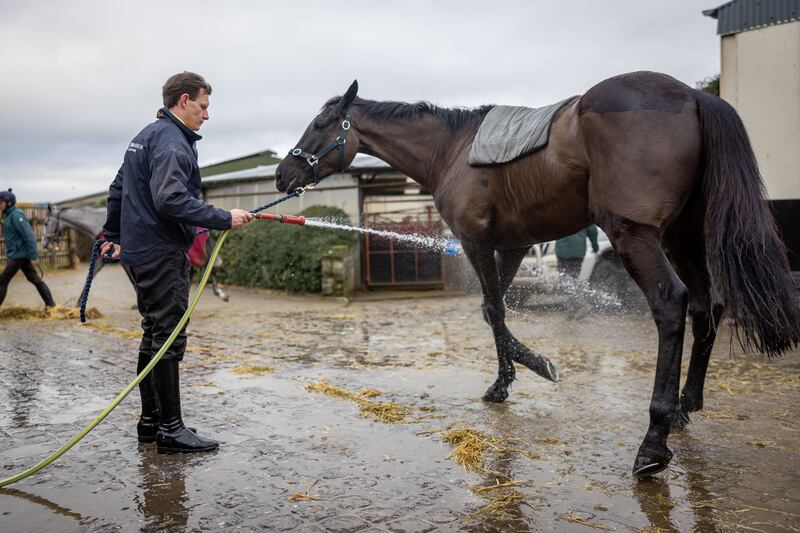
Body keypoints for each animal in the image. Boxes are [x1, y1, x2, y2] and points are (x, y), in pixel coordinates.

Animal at [44, 206, 228, 302]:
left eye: (45, 222)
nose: (44, 243)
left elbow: (131, 280)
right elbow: (93, 275)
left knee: (209, 266)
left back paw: (220, 293)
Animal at [276, 70, 800, 474]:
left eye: (320, 123)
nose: (283, 175)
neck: (452, 150)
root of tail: (693, 95)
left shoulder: (477, 242)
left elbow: (493, 309)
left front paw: (522, 373)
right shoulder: (513, 246)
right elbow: (495, 311)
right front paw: (516, 375)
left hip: (637, 235)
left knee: (671, 306)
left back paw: (653, 442)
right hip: (682, 237)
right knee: (706, 307)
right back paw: (686, 407)